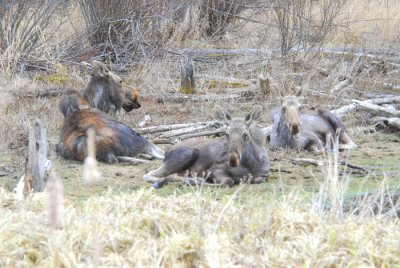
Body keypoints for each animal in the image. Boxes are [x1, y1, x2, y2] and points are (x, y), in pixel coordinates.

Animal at [142, 105, 270, 187]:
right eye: (226, 134)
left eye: (245, 134)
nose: (233, 159)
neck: (250, 165)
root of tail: (166, 152)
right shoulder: (216, 169)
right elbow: (227, 182)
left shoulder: (264, 175)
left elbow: (258, 179)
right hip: (187, 154)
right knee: (149, 174)